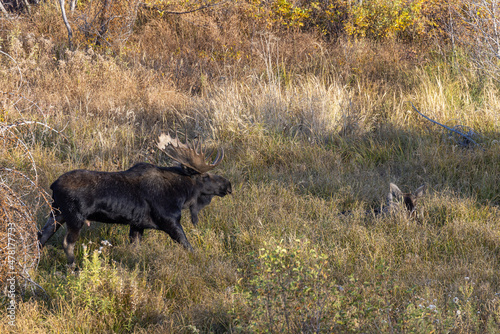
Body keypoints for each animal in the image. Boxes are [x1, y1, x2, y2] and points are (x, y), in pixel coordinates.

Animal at [38, 132, 232, 264]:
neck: (181, 194)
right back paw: (74, 269)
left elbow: (136, 250)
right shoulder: (170, 221)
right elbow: (188, 247)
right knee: (66, 243)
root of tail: (53, 185)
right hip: (74, 217)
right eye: (205, 176)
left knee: (41, 236)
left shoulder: (137, 225)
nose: (228, 185)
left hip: (56, 214)